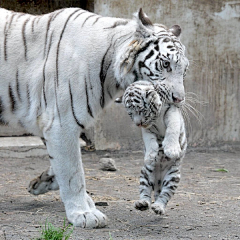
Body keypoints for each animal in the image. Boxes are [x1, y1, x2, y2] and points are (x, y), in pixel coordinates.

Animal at [115, 80, 187, 216]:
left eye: (142, 110)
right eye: (130, 113)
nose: (138, 123)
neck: (156, 116)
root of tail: (159, 181)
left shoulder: (172, 111)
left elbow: (173, 128)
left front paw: (171, 149)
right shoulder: (147, 128)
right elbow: (149, 139)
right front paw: (150, 155)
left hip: (172, 177)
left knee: (164, 195)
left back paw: (158, 207)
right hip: (146, 174)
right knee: (146, 192)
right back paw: (142, 204)